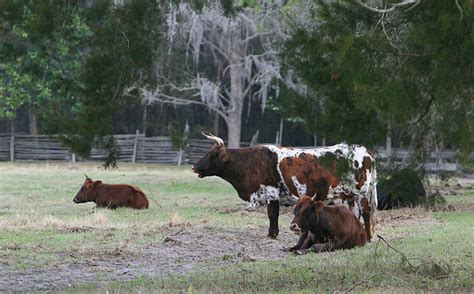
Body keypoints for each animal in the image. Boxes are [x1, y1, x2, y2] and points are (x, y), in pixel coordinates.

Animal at [191, 134, 376, 240]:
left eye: (210, 154)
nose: (194, 167)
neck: (250, 161)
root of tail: (365, 151)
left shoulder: (271, 192)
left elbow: (272, 214)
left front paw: (272, 234)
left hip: (361, 193)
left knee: (366, 212)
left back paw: (368, 237)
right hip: (350, 196)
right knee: (355, 214)